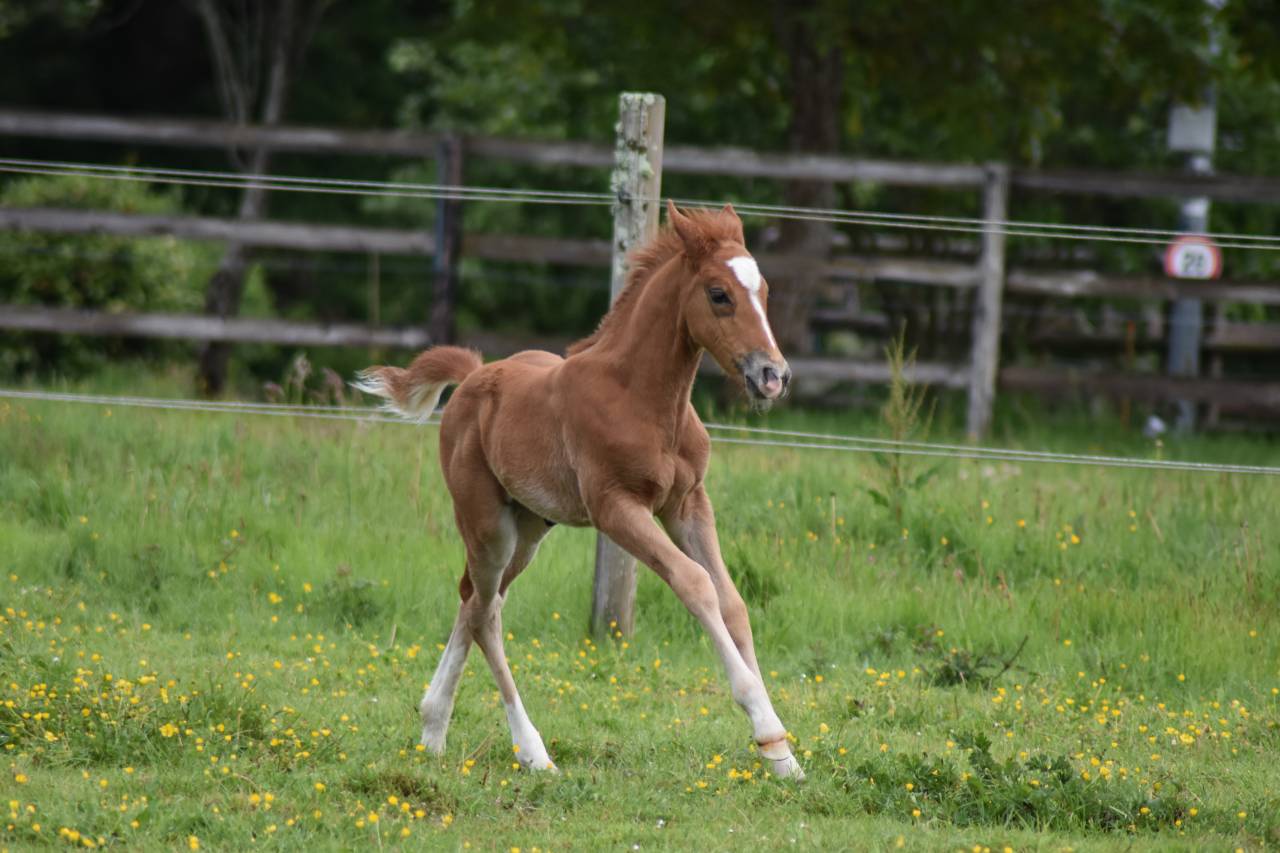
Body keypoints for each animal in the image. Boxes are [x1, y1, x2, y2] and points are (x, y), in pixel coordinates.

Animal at [354, 201, 803, 779]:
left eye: (763, 290)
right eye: (719, 294)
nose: (773, 376)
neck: (643, 399)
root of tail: (474, 377)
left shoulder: (688, 505)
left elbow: (732, 601)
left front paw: (783, 755)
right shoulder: (616, 508)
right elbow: (696, 584)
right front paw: (765, 728)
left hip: (528, 528)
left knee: (473, 598)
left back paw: (433, 728)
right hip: (486, 524)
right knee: (486, 612)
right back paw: (532, 750)